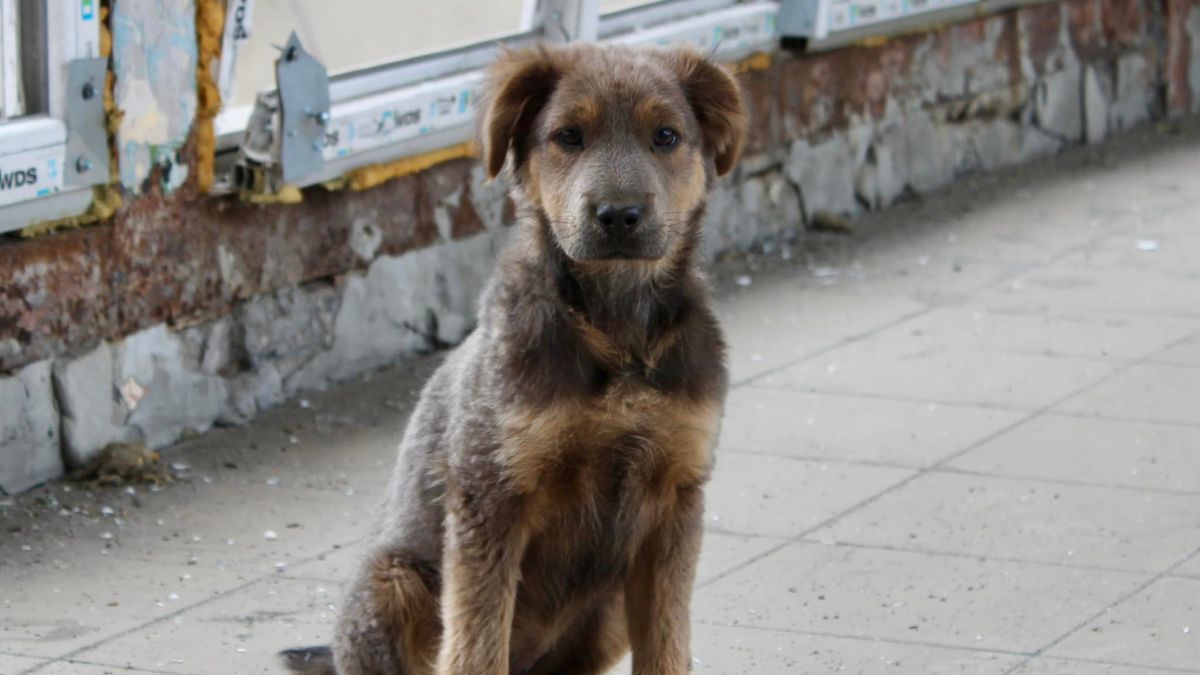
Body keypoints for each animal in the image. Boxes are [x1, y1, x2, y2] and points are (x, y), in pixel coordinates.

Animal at [284, 43, 744, 672]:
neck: (615, 327)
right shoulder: (491, 494)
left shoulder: (676, 498)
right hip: (396, 581)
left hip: (608, 610)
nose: (618, 215)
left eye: (666, 136)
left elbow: (668, 644)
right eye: (568, 135)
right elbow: (476, 644)